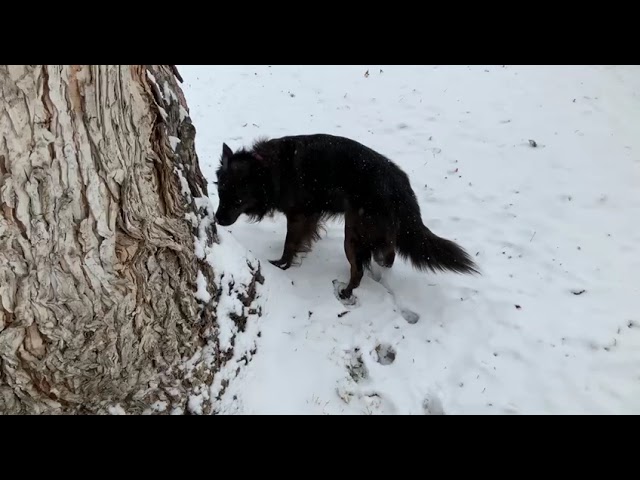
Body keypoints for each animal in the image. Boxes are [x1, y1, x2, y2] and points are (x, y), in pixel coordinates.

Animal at [215, 134, 480, 300]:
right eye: (219, 193)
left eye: (237, 200)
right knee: (388, 252)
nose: (217, 220)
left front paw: (281, 265)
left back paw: (346, 291)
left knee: (360, 270)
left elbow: (290, 243)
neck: (269, 169)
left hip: (353, 232)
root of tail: (399, 184)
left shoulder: (299, 215)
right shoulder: (310, 216)